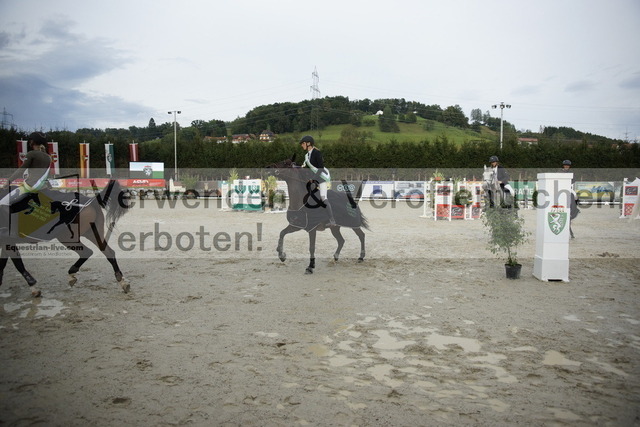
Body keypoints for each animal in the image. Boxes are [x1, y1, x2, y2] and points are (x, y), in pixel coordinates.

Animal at [0, 181, 130, 298]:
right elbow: (3, 264)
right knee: (109, 253)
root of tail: (89, 201)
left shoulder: (7, 241)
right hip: (92, 233)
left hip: (66, 237)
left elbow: (18, 265)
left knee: (87, 252)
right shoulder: (4, 243)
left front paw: (34, 289)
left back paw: (71, 274)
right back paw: (122, 282)